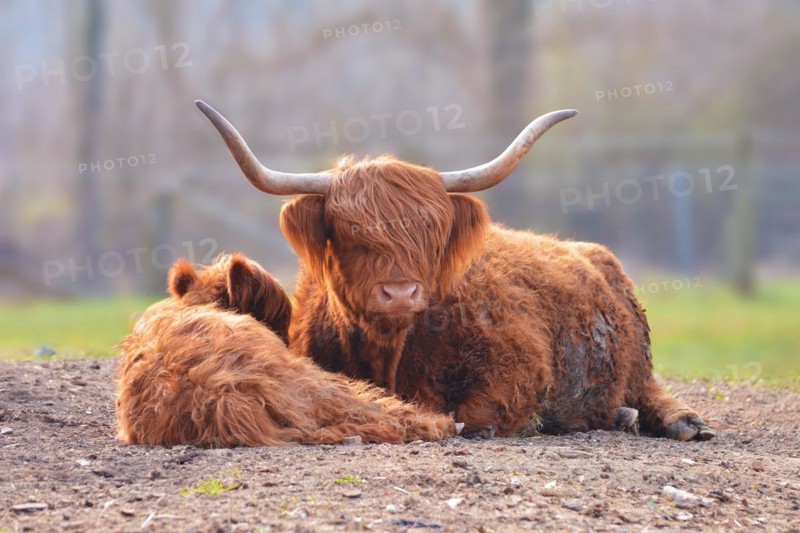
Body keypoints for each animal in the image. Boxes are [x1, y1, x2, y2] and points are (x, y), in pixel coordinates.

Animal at [196, 100, 715, 442]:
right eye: (350, 232)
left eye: (432, 231)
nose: (400, 294)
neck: (389, 350)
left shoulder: (521, 364)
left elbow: (478, 417)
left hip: (638, 362)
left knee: (649, 391)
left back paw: (683, 422)